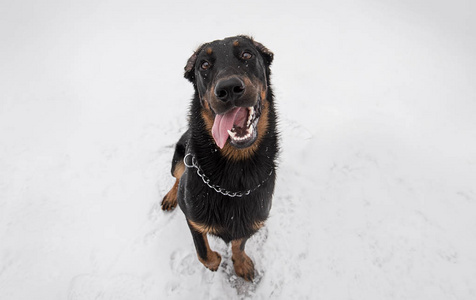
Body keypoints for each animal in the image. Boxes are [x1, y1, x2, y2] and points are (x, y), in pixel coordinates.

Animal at [161, 35, 278, 282]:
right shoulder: (193, 218)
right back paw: (171, 196)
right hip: (179, 157)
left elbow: (239, 244)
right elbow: (204, 253)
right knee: (177, 177)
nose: (229, 89)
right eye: (204, 65)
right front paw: (216, 261)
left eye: (247, 54)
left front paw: (241, 264)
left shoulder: (249, 222)